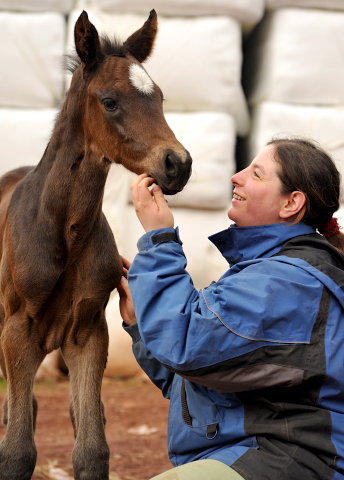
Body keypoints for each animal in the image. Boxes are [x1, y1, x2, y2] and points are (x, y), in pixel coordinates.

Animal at [0, 9, 192, 478]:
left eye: (159, 97)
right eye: (109, 101)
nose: (178, 164)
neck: (63, 231)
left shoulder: (87, 333)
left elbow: (91, 448)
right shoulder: (16, 329)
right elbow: (17, 451)